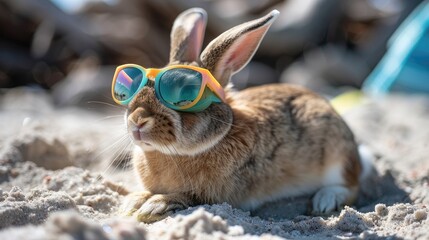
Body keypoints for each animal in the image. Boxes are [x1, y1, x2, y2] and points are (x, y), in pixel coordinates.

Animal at [118, 7, 362, 222]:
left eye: (186, 93)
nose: (137, 121)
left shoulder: (216, 195)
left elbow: (189, 197)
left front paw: (155, 205)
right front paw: (132, 202)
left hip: (336, 153)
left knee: (351, 185)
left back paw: (325, 200)